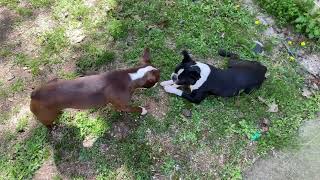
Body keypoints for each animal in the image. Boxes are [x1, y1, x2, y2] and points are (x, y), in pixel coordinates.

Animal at [30, 48, 160, 128]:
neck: (131, 77)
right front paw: (143, 110)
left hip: (53, 81)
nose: (158, 83)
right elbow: (135, 108)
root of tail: (34, 95)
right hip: (47, 116)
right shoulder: (123, 106)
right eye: (158, 78)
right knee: (48, 124)